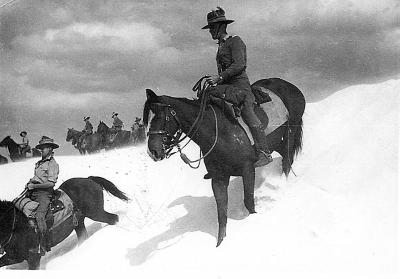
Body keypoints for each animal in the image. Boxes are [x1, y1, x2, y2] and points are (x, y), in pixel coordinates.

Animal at [0, 176, 128, 270]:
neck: (15, 225)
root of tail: (89, 179)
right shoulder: (15, 256)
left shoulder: (33, 257)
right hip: (79, 223)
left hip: (95, 212)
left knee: (113, 218)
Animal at [145, 77, 304, 246]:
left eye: (162, 117)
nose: (153, 152)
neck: (220, 131)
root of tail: (290, 86)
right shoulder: (218, 178)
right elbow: (221, 212)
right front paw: (220, 244)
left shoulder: (248, 169)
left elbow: (248, 202)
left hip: (290, 134)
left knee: (286, 163)